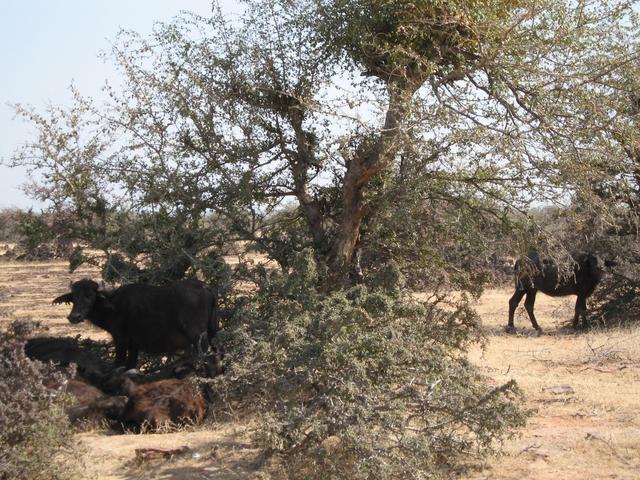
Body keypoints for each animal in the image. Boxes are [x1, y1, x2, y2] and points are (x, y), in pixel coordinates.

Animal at [51, 278, 220, 368]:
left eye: (89, 296)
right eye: (74, 297)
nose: (74, 316)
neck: (114, 306)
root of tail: (205, 287)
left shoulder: (120, 341)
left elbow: (119, 364)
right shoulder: (134, 346)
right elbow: (131, 366)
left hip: (198, 337)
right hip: (213, 333)